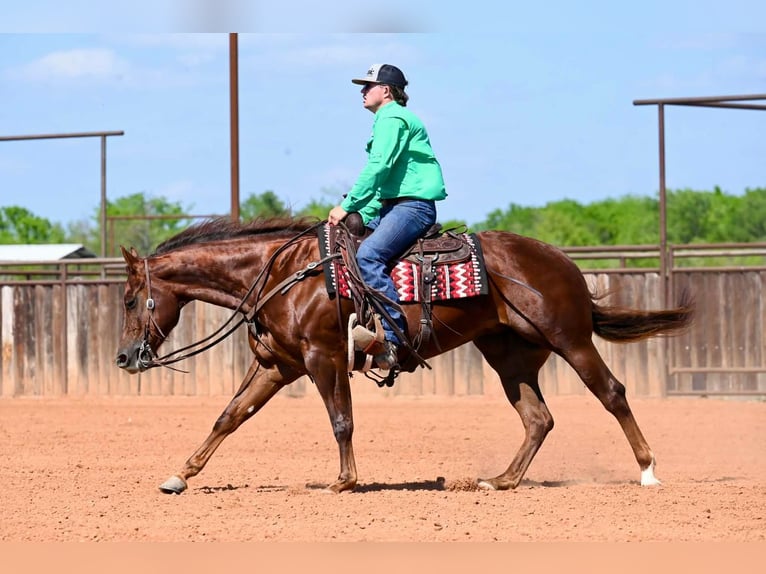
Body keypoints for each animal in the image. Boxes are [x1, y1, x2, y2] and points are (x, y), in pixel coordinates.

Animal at [115, 216, 694, 495]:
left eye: (128, 299)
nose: (124, 357)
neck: (287, 274)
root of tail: (564, 262)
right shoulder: (279, 365)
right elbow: (229, 416)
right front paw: (179, 477)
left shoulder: (323, 357)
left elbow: (342, 421)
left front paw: (344, 482)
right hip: (509, 354)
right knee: (538, 418)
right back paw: (502, 481)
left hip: (570, 340)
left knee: (612, 394)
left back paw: (648, 472)